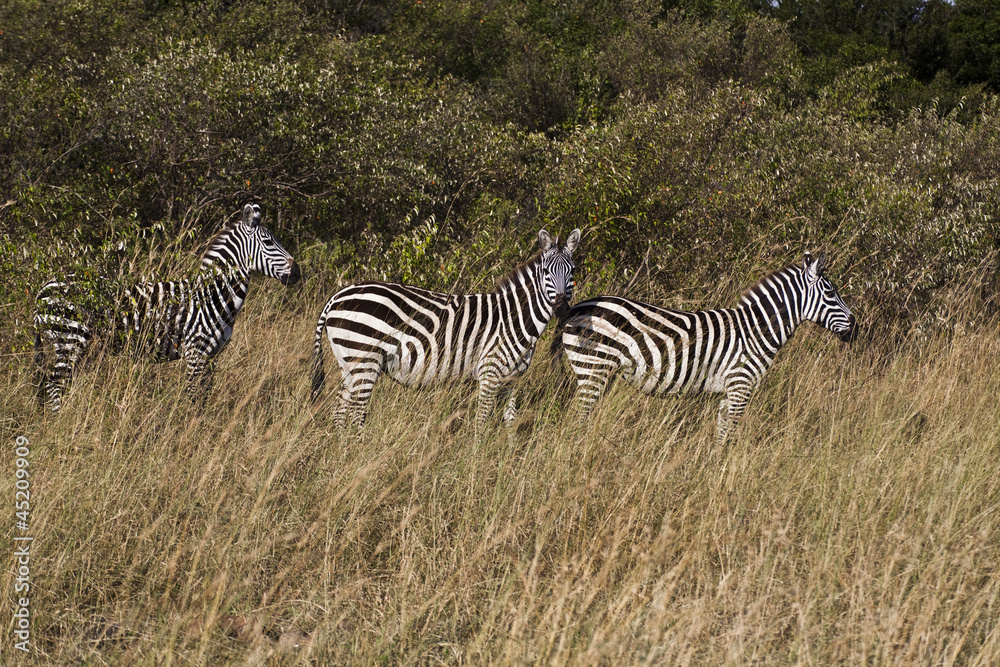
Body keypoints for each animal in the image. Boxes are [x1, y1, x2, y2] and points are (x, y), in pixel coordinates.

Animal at [33, 203, 301, 411]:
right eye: (268, 241)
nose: (298, 272)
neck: (212, 294)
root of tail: (45, 287)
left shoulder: (211, 355)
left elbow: (204, 396)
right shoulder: (195, 352)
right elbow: (194, 398)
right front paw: (192, 434)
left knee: (52, 382)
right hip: (70, 338)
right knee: (54, 383)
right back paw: (59, 423)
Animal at [311, 228, 581, 431]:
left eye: (573, 271)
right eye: (545, 271)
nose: (560, 307)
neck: (515, 319)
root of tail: (337, 296)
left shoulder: (513, 379)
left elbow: (510, 423)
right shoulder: (490, 372)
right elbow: (482, 422)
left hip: (349, 363)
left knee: (340, 408)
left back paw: (342, 451)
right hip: (364, 359)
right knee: (356, 411)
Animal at [559, 252, 857, 442]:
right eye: (831, 293)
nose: (855, 326)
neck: (755, 331)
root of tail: (576, 308)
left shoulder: (728, 392)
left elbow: (721, 434)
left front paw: (714, 466)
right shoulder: (740, 386)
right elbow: (729, 436)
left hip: (600, 373)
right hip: (593, 368)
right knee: (575, 419)